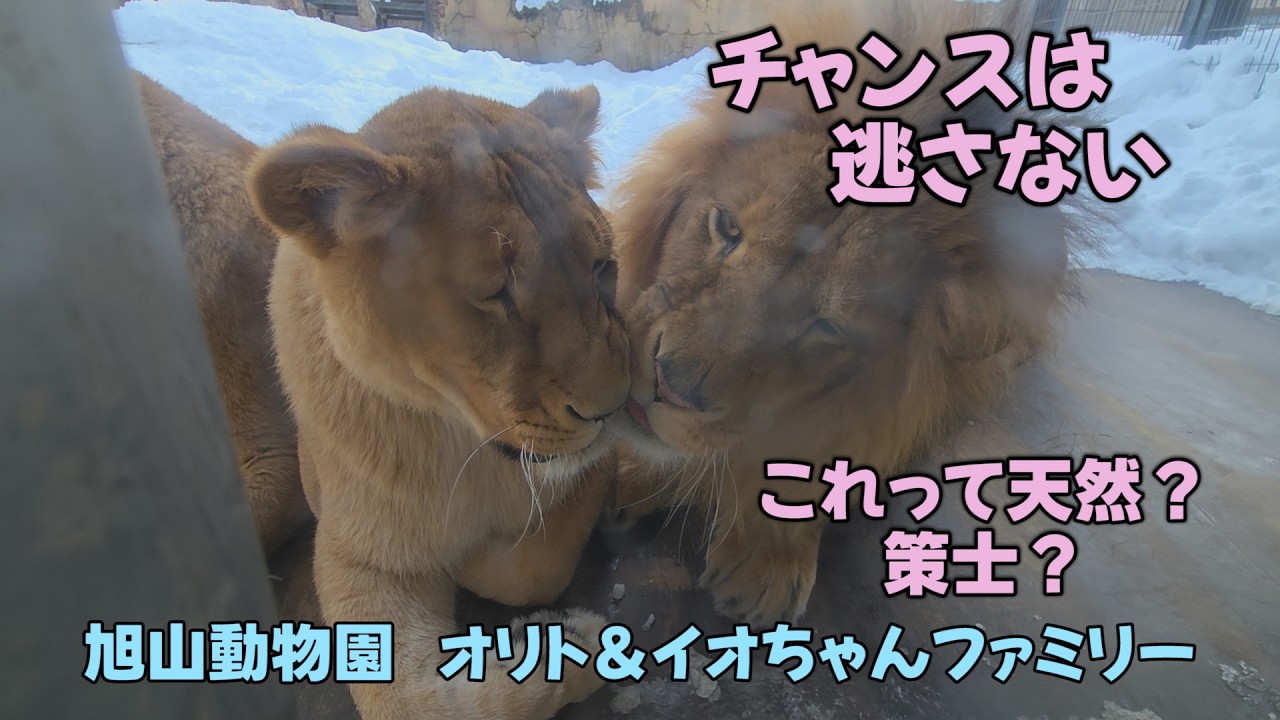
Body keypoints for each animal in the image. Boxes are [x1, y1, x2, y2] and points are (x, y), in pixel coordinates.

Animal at [247, 84, 631, 719]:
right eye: (495, 292)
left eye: (602, 266)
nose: (613, 410)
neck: (462, 443)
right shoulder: (357, 551)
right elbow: (419, 704)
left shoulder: (599, 466)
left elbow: (534, 568)